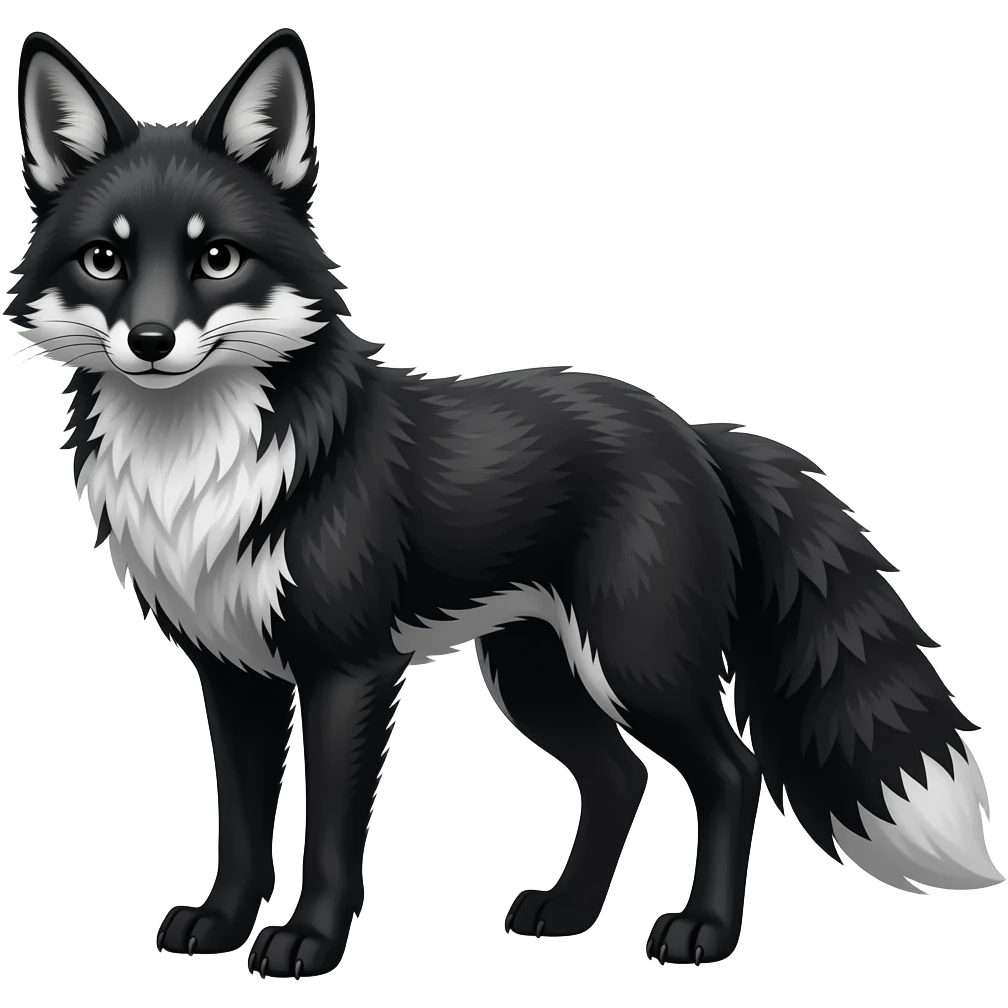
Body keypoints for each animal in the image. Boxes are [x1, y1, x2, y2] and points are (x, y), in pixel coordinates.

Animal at [7, 27, 1003, 979]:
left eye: (217, 258)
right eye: (105, 260)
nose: (150, 340)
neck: (199, 468)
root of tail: (698, 433)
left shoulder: (349, 669)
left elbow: (328, 835)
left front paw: (308, 945)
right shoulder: (232, 673)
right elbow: (244, 828)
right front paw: (220, 925)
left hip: (635, 662)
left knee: (731, 770)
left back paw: (705, 933)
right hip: (537, 673)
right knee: (619, 778)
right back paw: (566, 914)